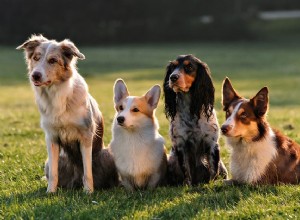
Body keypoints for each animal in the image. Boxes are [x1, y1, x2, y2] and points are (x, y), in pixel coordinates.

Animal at [16, 34, 118, 192]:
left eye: (52, 60)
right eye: (36, 58)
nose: (35, 75)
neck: (56, 94)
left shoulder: (86, 135)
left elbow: (87, 171)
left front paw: (89, 192)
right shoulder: (51, 137)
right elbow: (53, 173)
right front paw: (50, 192)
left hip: (107, 154)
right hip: (51, 162)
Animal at [164, 54, 227, 185]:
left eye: (189, 67)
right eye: (173, 67)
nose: (173, 77)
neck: (191, 111)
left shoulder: (212, 143)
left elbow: (213, 169)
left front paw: (211, 184)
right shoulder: (180, 144)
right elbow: (186, 169)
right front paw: (187, 185)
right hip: (171, 160)